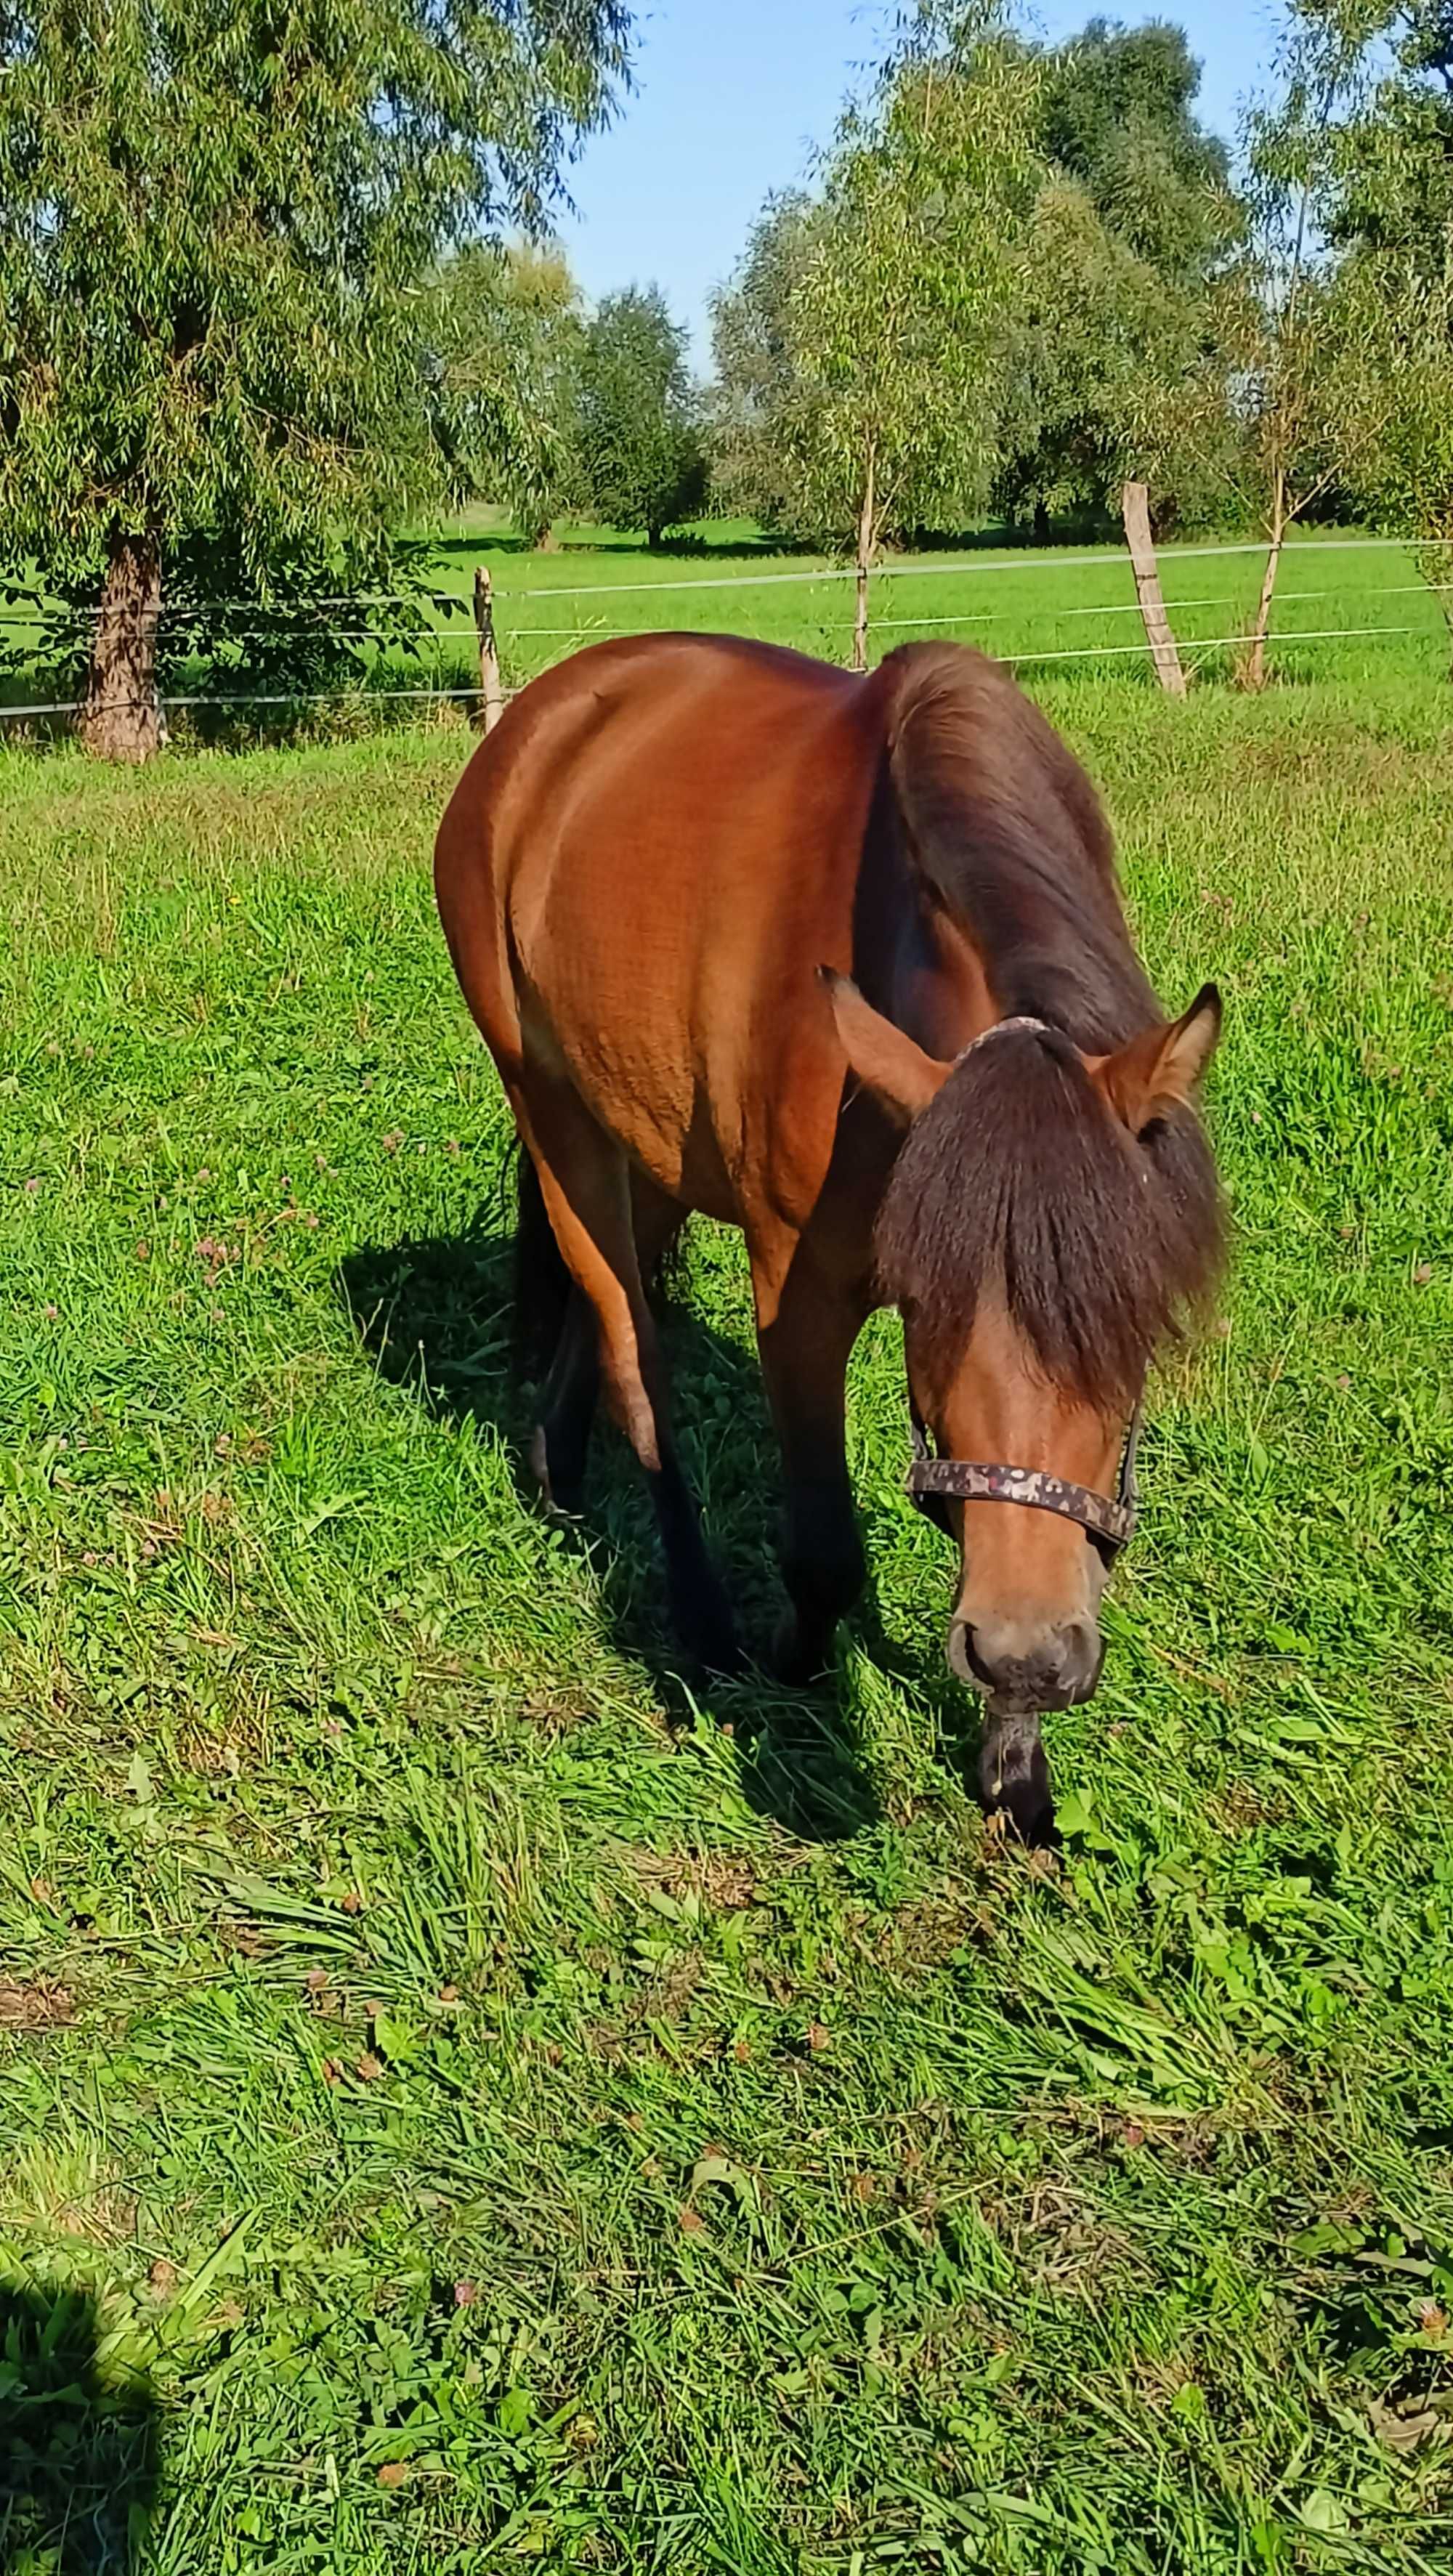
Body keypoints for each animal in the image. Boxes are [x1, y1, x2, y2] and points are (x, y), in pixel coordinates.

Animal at [435, 628, 1226, 1834]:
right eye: (934, 1306)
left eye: (1127, 1317)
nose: (1029, 1656)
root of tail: (536, 721)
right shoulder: (796, 1291)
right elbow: (825, 1546)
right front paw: (796, 1667)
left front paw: (1015, 1769)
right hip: (553, 1107)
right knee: (631, 1347)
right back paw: (701, 1624)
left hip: (645, 1130)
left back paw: (556, 1473)